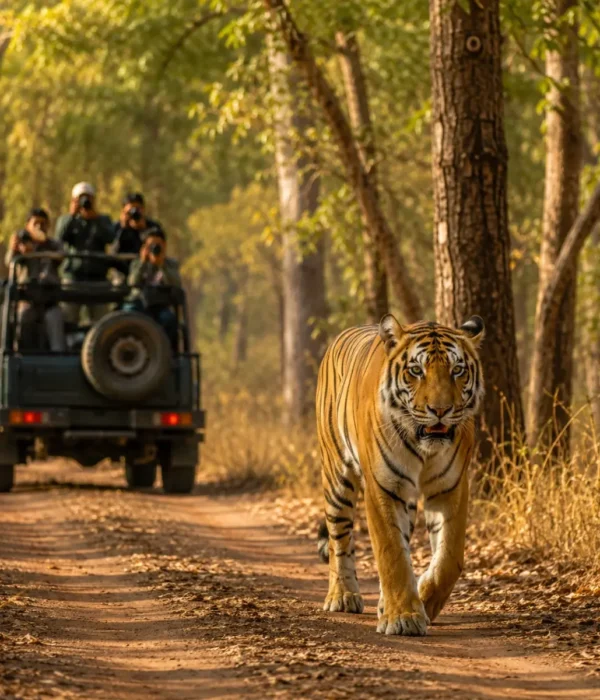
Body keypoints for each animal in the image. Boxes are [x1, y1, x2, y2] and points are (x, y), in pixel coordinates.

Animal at [315, 314, 484, 636]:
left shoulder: (451, 488)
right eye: (416, 370)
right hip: (337, 476)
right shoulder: (383, 487)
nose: (440, 410)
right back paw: (342, 596)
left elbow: (449, 558)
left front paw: (425, 600)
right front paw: (404, 617)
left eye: (457, 370)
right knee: (338, 539)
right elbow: (391, 553)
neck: (425, 448)